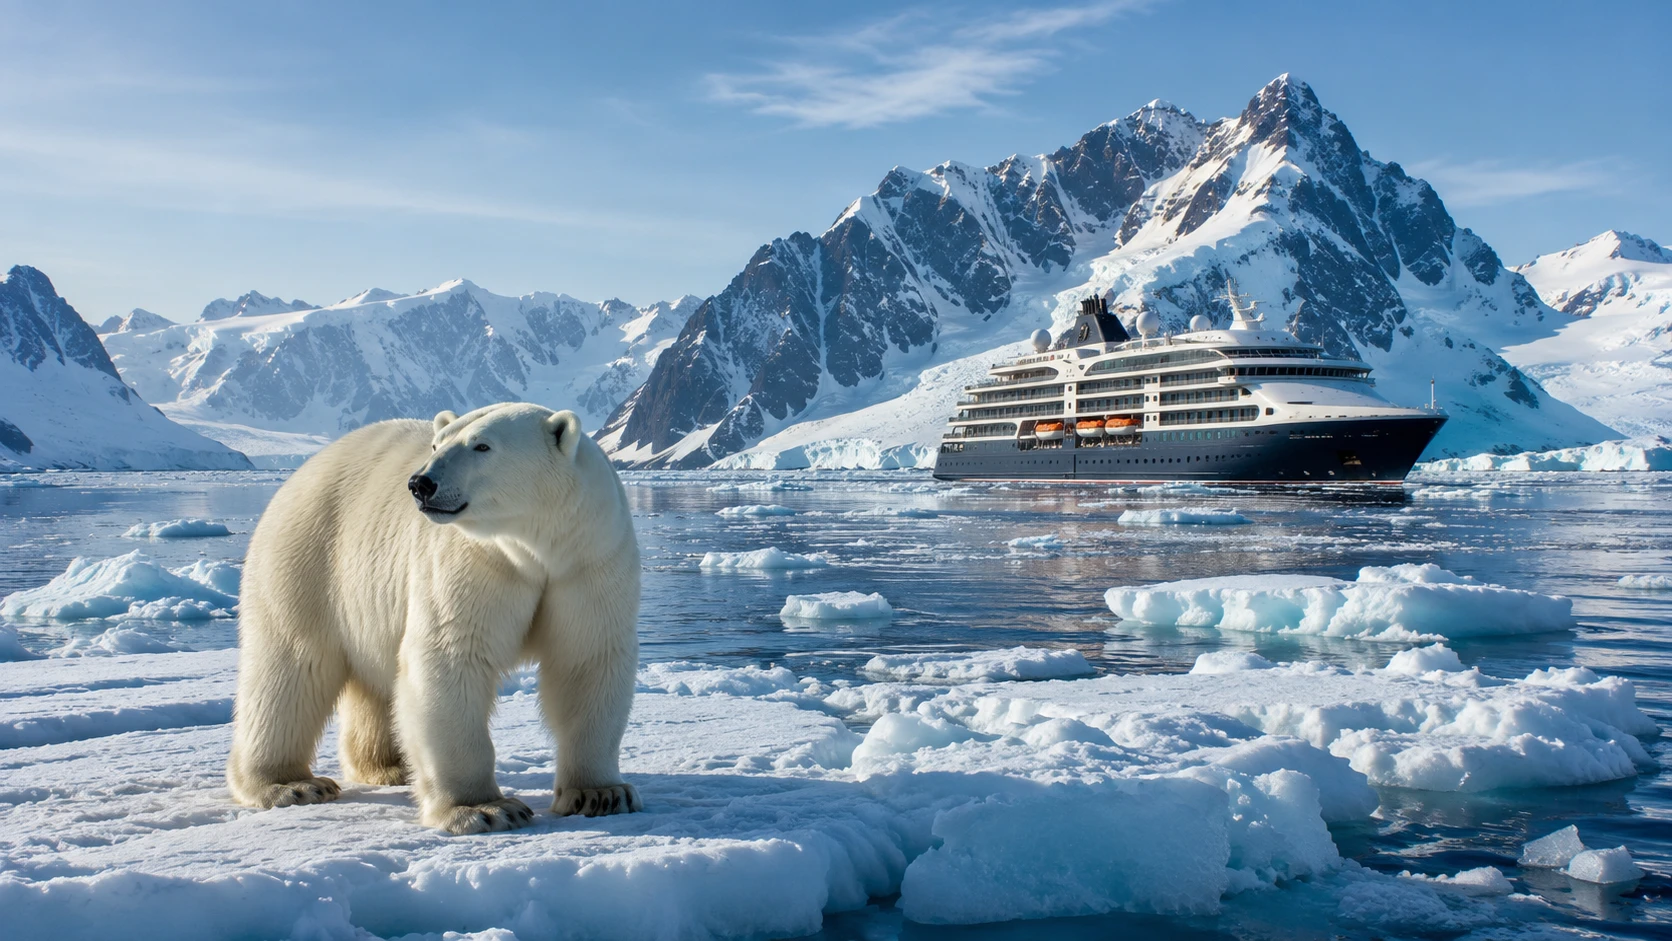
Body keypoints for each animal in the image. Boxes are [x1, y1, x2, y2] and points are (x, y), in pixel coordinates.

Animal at [225, 402, 642, 833]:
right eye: (437, 443)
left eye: (482, 445)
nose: (420, 483)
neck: (536, 546)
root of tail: (303, 471)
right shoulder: (474, 561)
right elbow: (452, 658)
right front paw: (485, 808)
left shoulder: (587, 561)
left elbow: (586, 662)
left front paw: (601, 794)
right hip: (308, 558)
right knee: (291, 669)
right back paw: (290, 784)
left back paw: (388, 767)